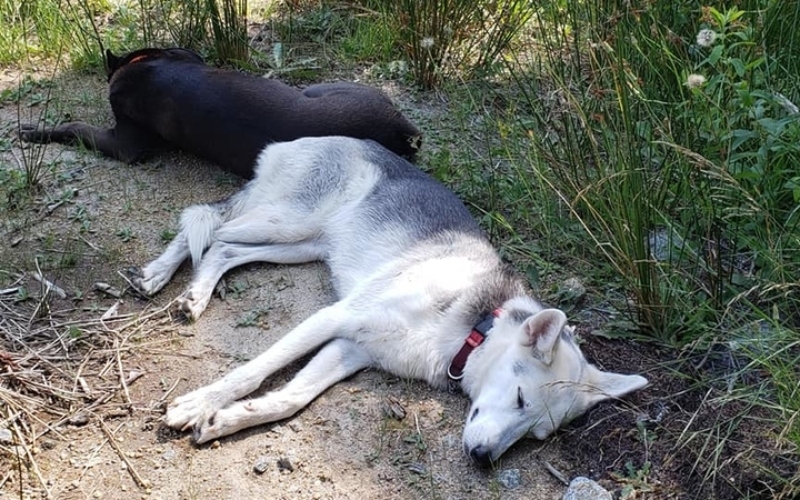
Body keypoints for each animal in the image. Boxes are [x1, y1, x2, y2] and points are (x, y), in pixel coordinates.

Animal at [18, 48, 422, 178]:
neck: (143, 63)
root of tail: (400, 126)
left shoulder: (125, 145)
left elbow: (74, 126)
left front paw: (35, 131)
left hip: (324, 87)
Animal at [133, 136, 644, 464]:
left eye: (537, 434)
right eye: (520, 398)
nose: (483, 459)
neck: (471, 326)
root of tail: (301, 138)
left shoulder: (352, 349)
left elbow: (290, 399)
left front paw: (228, 419)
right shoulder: (334, 317)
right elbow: (253, 371)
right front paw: (199, 403)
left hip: (301, 245)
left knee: (222, 247)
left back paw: (195, 295)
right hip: (287, 222)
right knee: (208, 224)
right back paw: (159, 275)